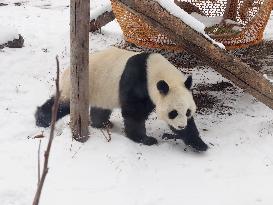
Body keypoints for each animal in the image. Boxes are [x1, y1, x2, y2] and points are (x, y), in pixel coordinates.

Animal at [35, 46, 206, 149]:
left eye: (188, 112)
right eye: (173, 113)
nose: (181, 126)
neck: (154, 71)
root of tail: (67, 70)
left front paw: (199, 144)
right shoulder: (137, 83)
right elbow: (134, 113)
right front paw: (145, 139)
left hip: (100, 90)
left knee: (100, 109)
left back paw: (103, 123)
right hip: (79, 87)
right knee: (62, 104)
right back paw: (41, 119)